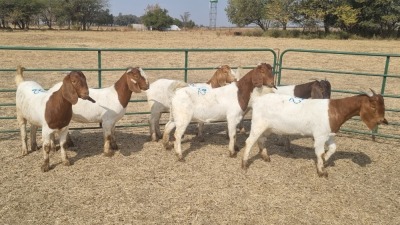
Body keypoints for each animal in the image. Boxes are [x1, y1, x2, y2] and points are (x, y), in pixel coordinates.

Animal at [241, 89, 388, 178]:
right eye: (373, 106)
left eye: (383, 106)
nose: (383, 121)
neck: (335, 110)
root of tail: (258, 100)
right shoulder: (320, 136)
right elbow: (319, 152)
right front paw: (322, 171)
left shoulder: (329, 134)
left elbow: (333, 148)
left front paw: (326, 160)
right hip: (258, 124)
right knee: (249, 141)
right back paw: (244, 164)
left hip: (267, 127)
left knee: (261, 139)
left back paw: (265, 156)